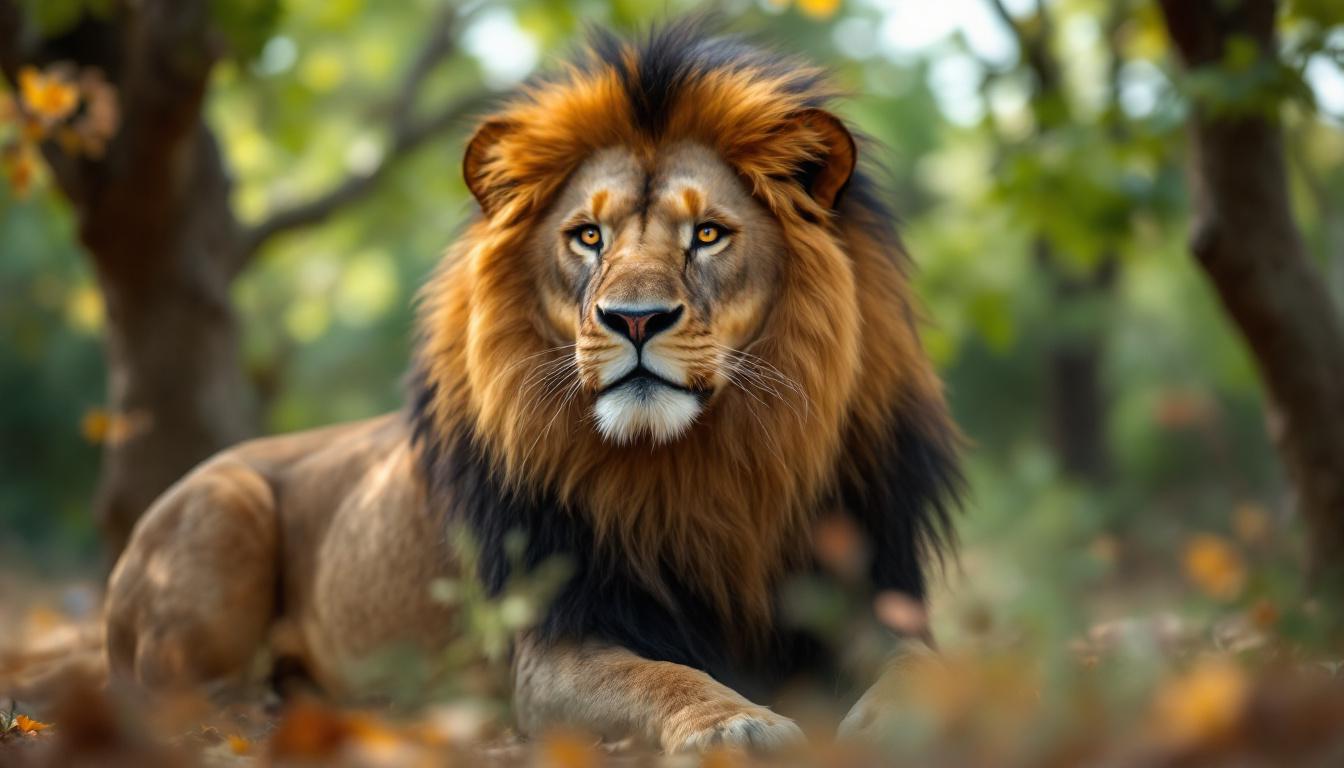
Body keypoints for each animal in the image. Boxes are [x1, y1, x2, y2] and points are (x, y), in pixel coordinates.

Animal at [103, 21, 962, 751]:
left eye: (708, 234)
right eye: (588, 236)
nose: (636, 319)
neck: (699, 469)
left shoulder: (868, 600)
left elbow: (925, 665)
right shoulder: (551, 646)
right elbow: (661, 675)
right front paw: (733, 725)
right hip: (223, 507)